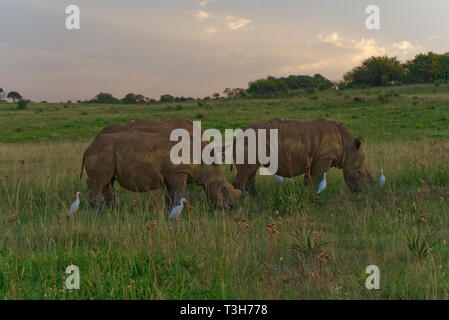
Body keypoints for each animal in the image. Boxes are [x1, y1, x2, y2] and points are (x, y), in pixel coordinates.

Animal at [80, 120, 242, 212]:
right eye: (224, 188)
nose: (231, 207)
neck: (203, 162)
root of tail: (88, 147)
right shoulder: (178, 173)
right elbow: (178, 195)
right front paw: (177, 215)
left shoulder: (170, 175)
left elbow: (170, 197)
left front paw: (168, 214)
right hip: (101, 152)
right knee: (99, 182)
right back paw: (100, 215)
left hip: (105, 152)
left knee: (107, 182)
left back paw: (113, 212)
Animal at [231, 118, 374, 195]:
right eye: (359, 172)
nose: (366, 191)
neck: (347, 147)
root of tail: (238, 135)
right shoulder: (323, 158)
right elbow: (317, 181)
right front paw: (316, 196)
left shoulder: (313, 160)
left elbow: (309, 180)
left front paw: (307, 195)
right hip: (249, 142)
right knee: (247, 172)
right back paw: (243, 203)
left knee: (251, 172)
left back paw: (257, 199)